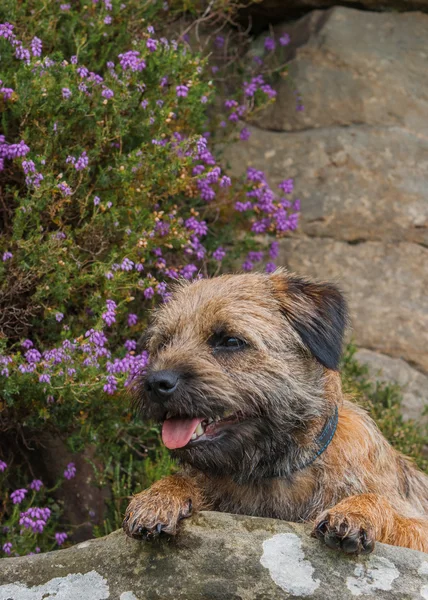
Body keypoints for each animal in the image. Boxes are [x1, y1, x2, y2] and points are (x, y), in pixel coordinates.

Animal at [123, 270, 428, 552]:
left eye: (230, 341)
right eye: (164, 342)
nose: (156, 383)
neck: (275, 469)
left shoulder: (418, 531)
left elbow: (388, 509)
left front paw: (356, 511)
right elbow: (183, 478)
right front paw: (159, 495)